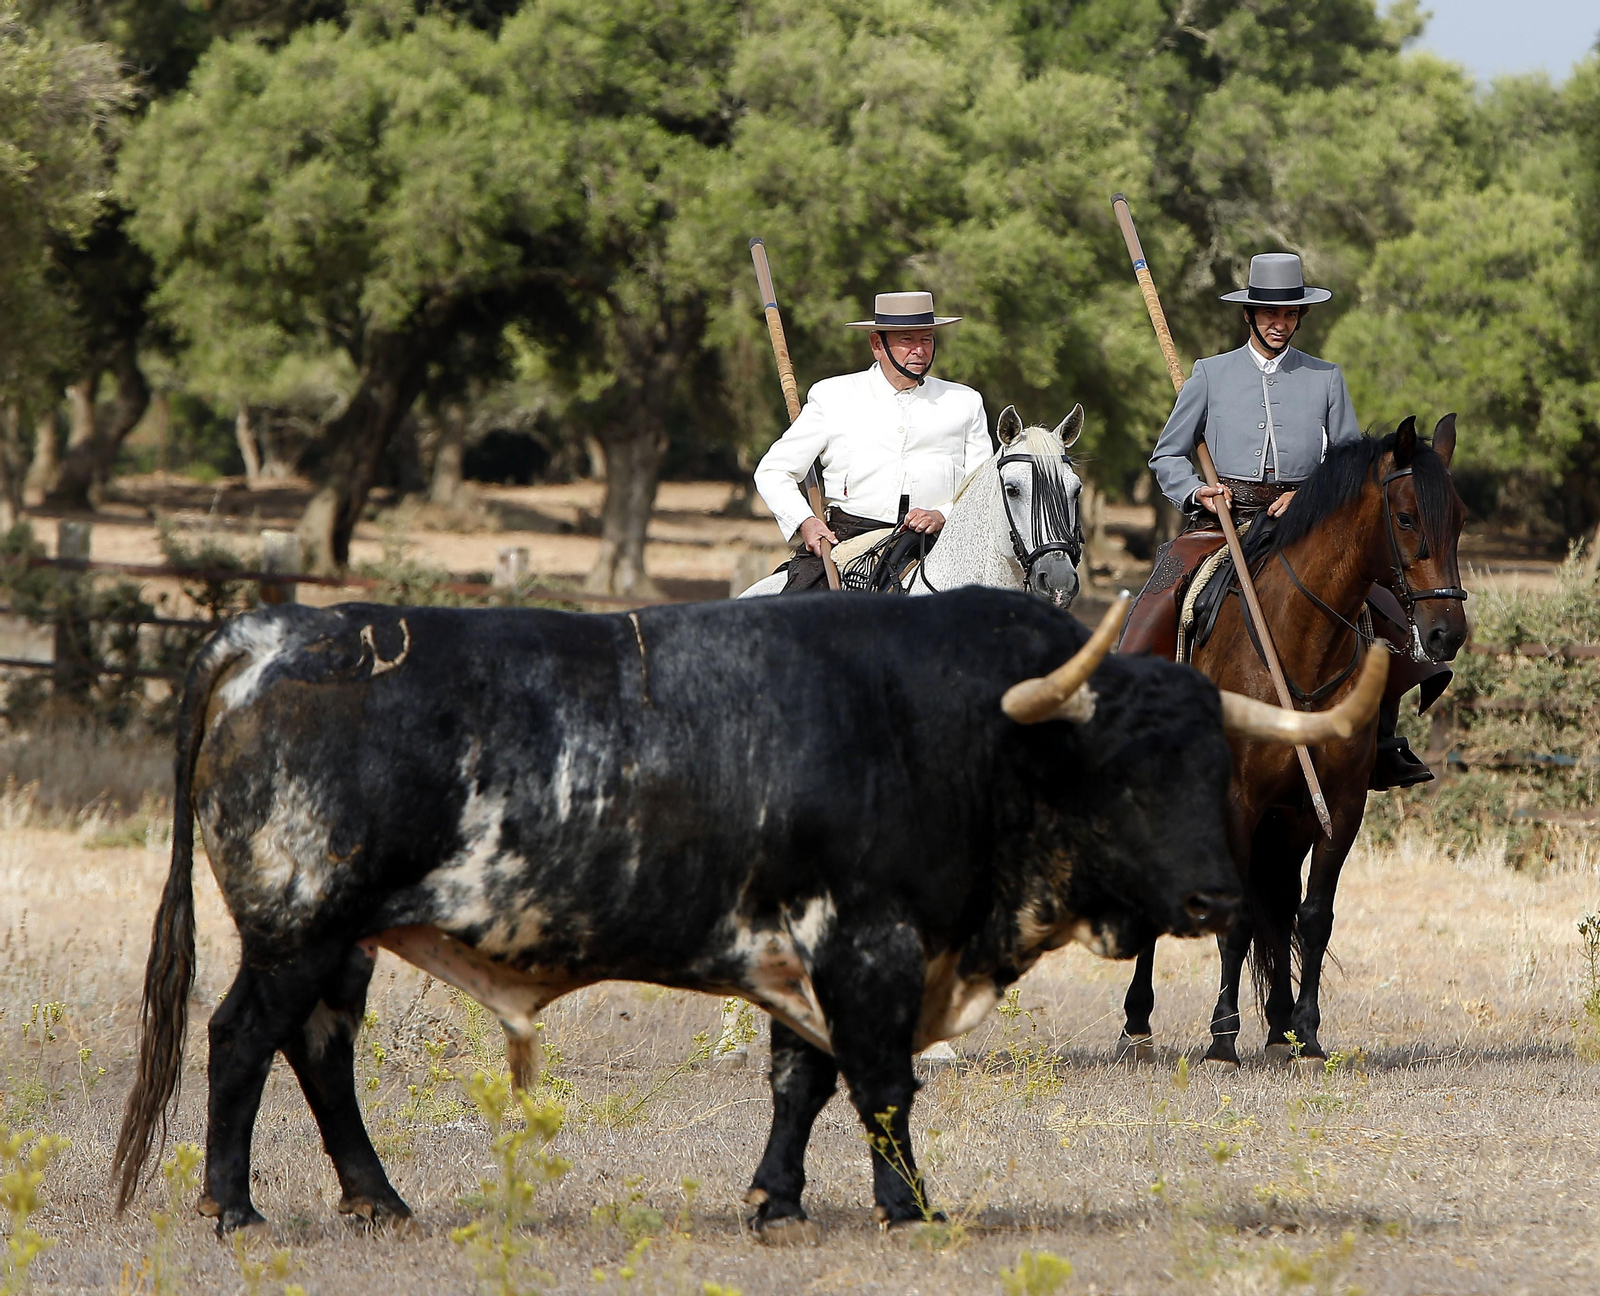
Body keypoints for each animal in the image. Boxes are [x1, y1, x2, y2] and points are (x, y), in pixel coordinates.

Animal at [1117, 414, 1468, 1068]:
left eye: (1458, 519)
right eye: (1407, 517)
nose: (1445, 634)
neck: (1299, 645)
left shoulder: (1336, 807)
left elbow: (1312, 915)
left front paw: (1305, 1031)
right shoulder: (1238, 800)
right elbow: (1237, 916)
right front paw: (1222, 1039)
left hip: (1288, 821)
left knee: (1279, 905)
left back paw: (1278, 1027)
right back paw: (1137, 1025)